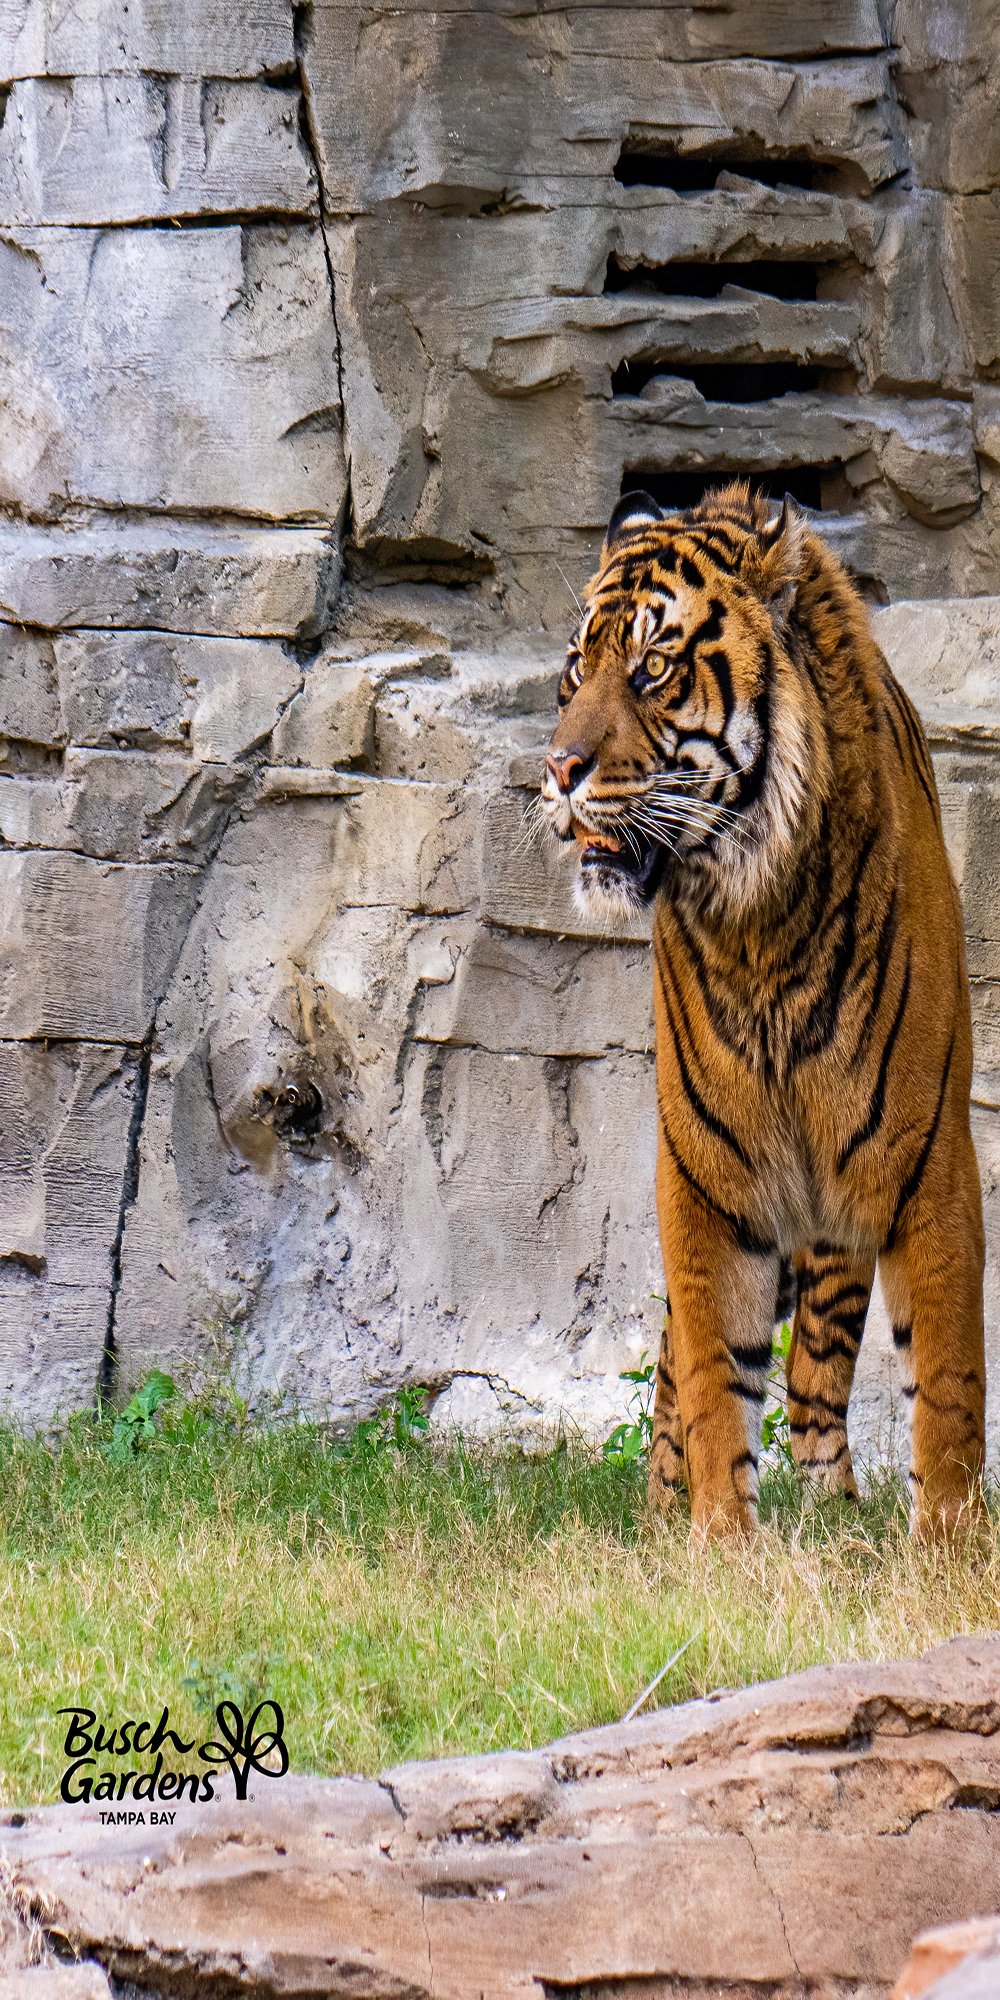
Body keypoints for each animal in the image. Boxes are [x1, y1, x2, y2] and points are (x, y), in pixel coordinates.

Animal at [541, 480, 986, 1540]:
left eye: (653, 668)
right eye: (577, 669)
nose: (558, 769)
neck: (757, 925)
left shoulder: (926, 1165)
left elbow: (945, 1385)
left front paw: (949, 1543)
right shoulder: (706, 1173)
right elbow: (710, 1373)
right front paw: (716, 1542)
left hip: (840, 1221)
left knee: (818, 1385)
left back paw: (840, 1521)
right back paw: (665, 1513)